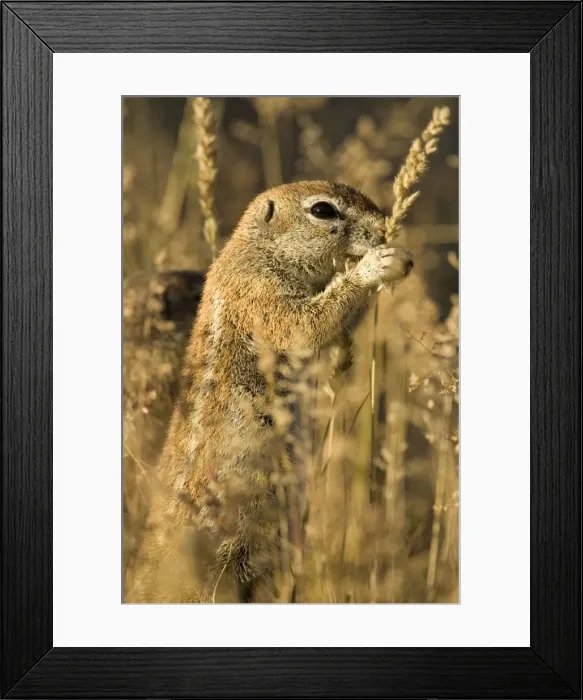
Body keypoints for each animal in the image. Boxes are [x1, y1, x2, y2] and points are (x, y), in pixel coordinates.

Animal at [129, 181, 413, 603]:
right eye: (323, 210)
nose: (384, 228)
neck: (260, 248)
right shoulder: (259, 290)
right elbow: (305, 326)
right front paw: (377, 264)